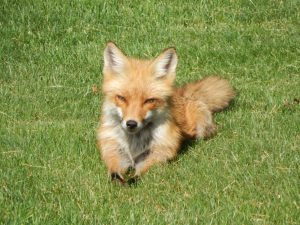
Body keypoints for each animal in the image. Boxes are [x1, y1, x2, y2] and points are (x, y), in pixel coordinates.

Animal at [97, 42, 236, 185]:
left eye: (149, 100)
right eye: (122, 98)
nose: (131, 123)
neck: (134, 143)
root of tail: (181, 94)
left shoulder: (160, 152)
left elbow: (141, 173)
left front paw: (132, 180)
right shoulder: (113, 148)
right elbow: (113, 170)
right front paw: (117, 180)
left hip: (201, 130)